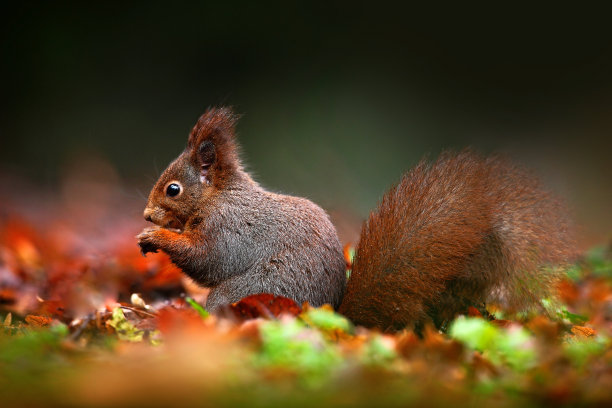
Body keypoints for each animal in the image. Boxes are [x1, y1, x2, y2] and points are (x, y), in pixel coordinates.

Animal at [137, 107, 572, 330]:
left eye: (173, 189)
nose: (145, 213)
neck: (219, 196)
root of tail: (333, 318)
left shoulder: (229, 227)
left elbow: (208, 259)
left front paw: (157, 237)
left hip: (248, 293)